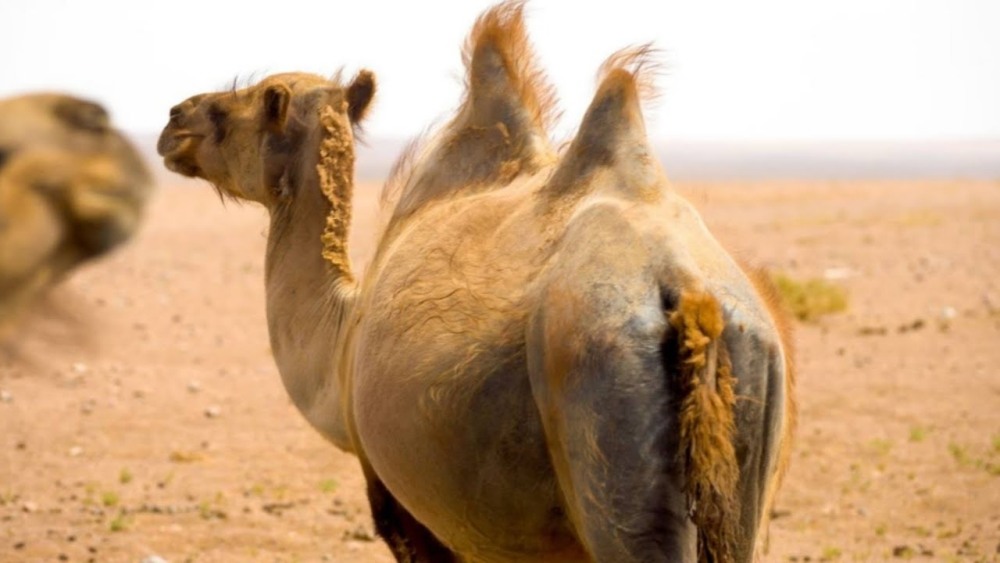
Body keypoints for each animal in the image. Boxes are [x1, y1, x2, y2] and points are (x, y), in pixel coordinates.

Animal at [157, 3, 795, 561]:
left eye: (239, 104)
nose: (173, 120)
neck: (340, 341)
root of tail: (690, 296)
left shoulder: (401, 505)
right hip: (746, 444)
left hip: (607, 409)